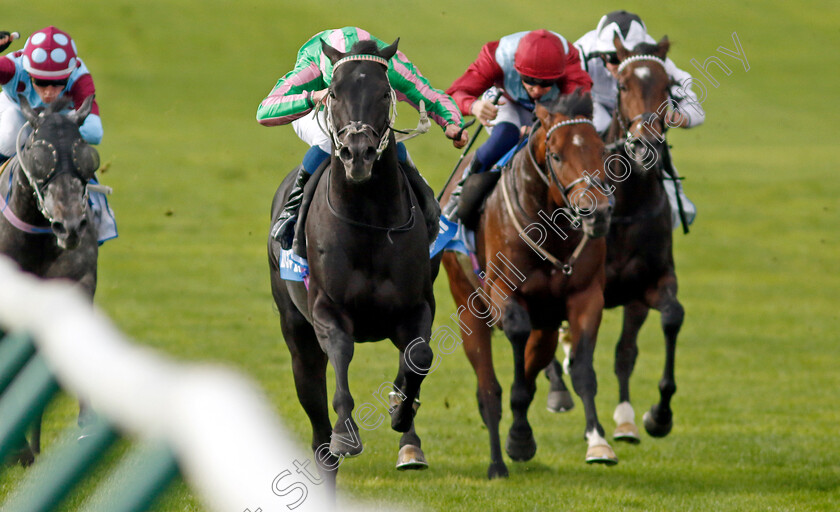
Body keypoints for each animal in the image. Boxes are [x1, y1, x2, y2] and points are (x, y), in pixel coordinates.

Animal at [270, 39, 436, 488]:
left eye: (383, 92)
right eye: (334, 92)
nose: (358, 153)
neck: (369, 222)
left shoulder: (416, 307)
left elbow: (419, 356)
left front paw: (401, 410)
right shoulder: (327, 309)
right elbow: (342, 353)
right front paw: (346, 433)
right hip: (297, 336)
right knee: (315, 421)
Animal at [442, 90, 612, 478]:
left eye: (601, 149)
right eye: (556, 155)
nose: (597, 212)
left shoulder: (585, 296)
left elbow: (582, 369)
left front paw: (598, 441)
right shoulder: (501, 291)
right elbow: (516, 340)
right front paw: (517, 437)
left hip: (547, 321)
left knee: (538, 358)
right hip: (466, 304)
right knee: (487, 386)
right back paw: (496, 462)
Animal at [548, 35, 684, 444]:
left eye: (668, 87)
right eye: (622, 85)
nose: (644, 145)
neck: (628, 206)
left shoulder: (647, 283)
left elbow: (665, 322)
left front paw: (657, 415)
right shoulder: (587, 287)